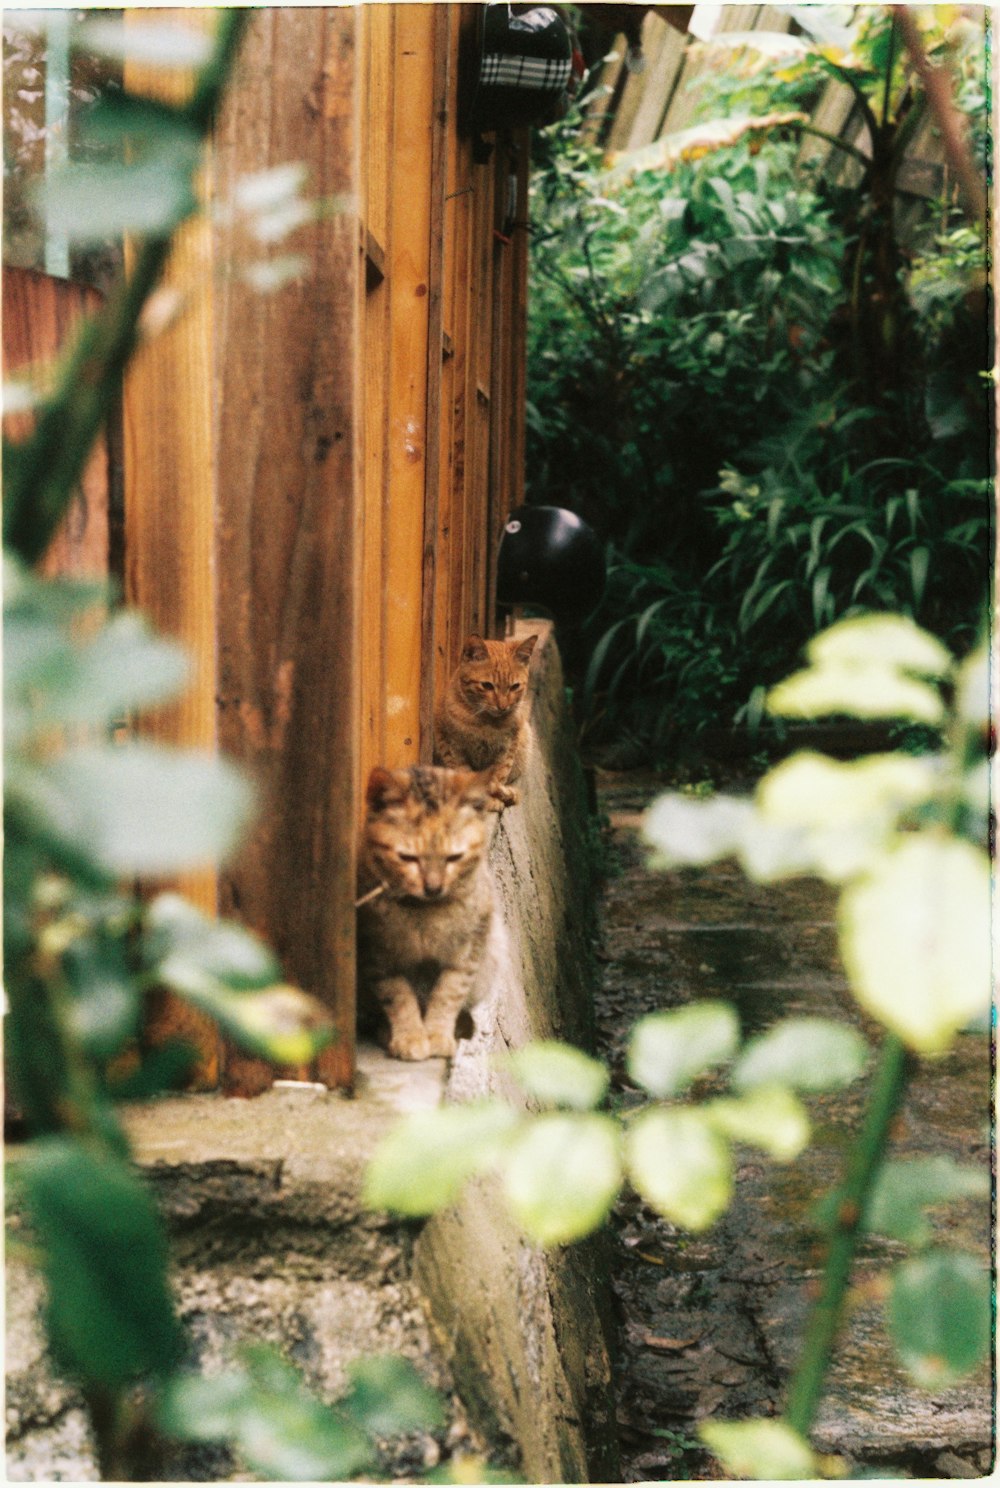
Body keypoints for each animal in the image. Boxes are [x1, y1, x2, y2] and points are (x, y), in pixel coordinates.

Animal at [357, 767, 494, 1059]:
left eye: (454, 857)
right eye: (407, 857)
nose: (433, 888)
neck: (424, 911)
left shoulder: (467, 951)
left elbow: (448, 993)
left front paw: (437, 1035)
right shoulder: (377, 955)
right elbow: (399, 996)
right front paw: (410, 1036)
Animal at [431, 630, 535, 809]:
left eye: (514, 686)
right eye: (487, 686)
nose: (503, 706)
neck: (487, 724)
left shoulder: (506, 751)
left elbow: (498, 776)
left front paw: (497, 796)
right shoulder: (452, 748)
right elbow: (465, 777)